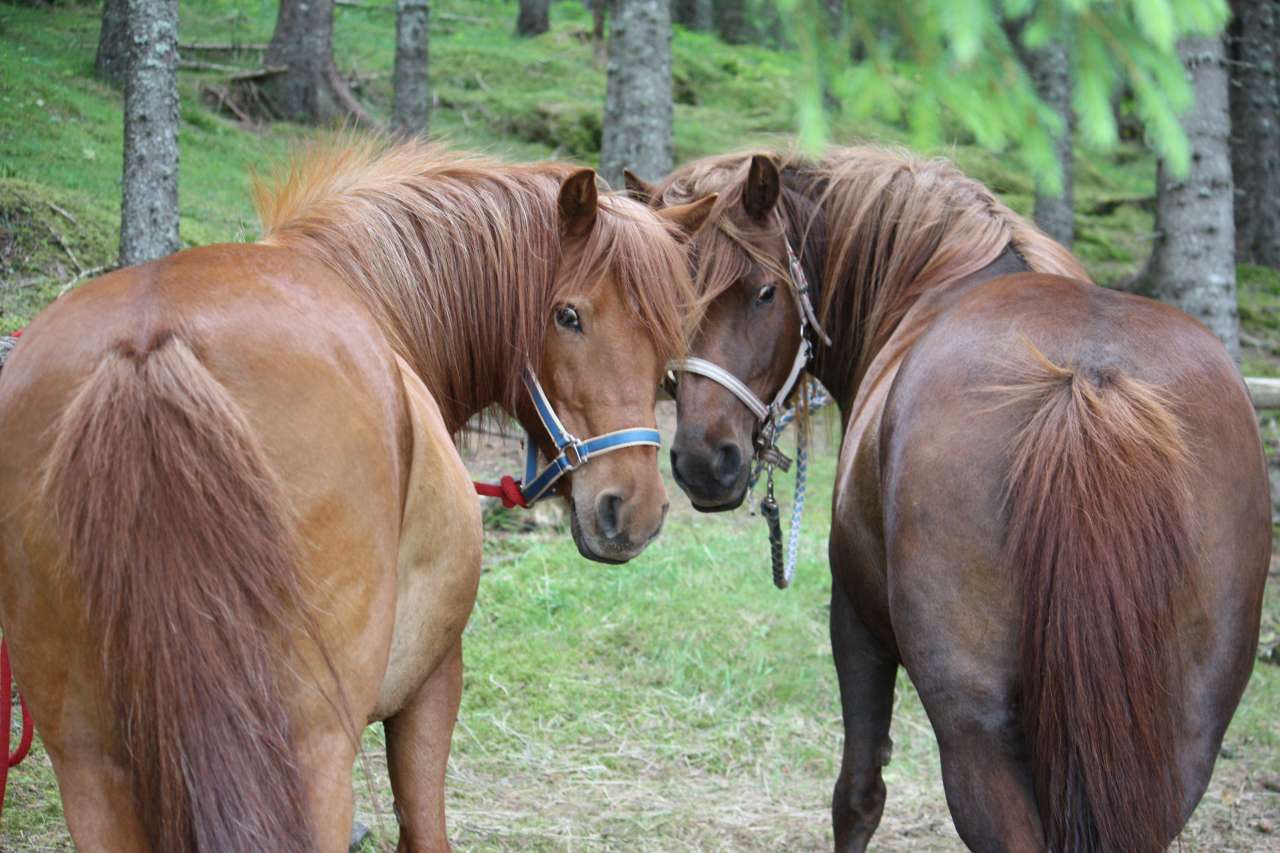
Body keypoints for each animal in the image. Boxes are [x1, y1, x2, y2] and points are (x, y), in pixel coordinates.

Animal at [0, 136, 716, 845]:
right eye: (567, 316)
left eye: (666, 339)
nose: (635, 510)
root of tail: (150, 344)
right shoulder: (430, 684)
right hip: (311, 752)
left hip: (91, 764)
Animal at [634, 146, 1274, 850]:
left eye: (765, 292)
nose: (703, 461)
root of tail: (1089, 378)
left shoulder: (855, 620)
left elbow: (857, 795)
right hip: (1178, 745)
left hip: (976, 736)